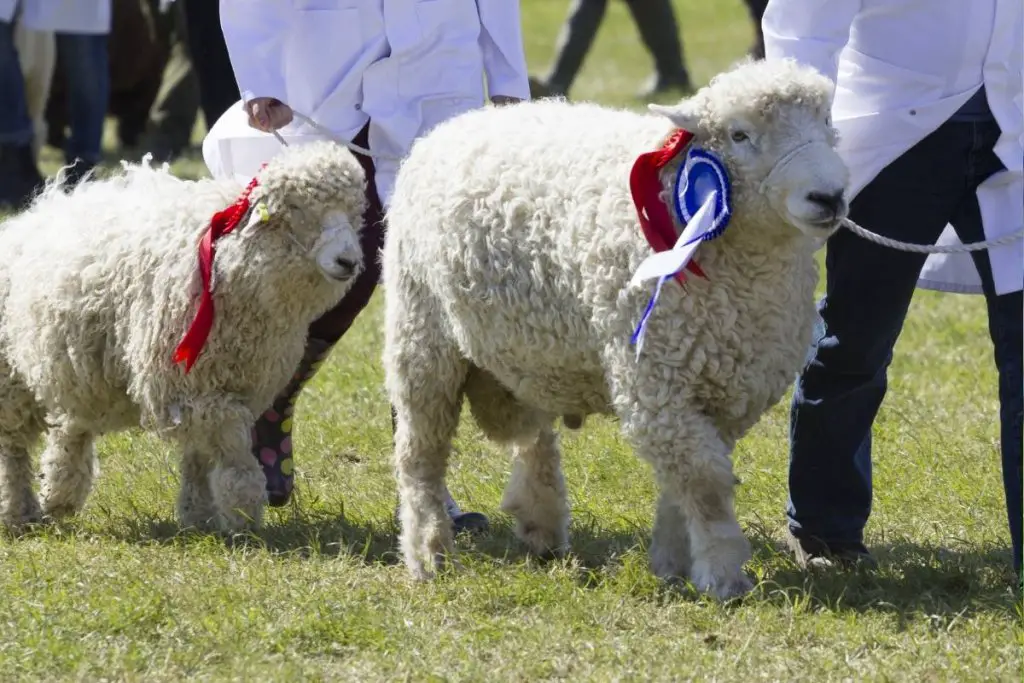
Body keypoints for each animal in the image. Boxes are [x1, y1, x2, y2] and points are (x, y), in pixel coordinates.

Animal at [0, 140, 366, 532]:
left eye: (355, 213)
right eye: (298, 208)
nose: (349, 262)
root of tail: (37, 208)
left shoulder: (232, 383)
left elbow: (200, 455)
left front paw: (199, 516)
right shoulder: (187, 384)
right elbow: (229, 440)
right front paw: (243, 509)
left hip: (79, 369)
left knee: (72, 427)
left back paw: (60, 497)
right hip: (12, 378)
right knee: (14, 447)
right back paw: (20, 511)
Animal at [382, 60, 847, 602]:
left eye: (826, 123)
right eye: (740, 134)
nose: (829, 197)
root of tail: (453, 125)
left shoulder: (723, 389)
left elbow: (685, 481)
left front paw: (672, 561)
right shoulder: (654, 380)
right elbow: (706, 483)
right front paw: (722, 574)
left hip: (530, 351)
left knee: (535, 435)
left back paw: (541, 525)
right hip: (421, 334)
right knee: (420, 455)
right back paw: (427, 551)